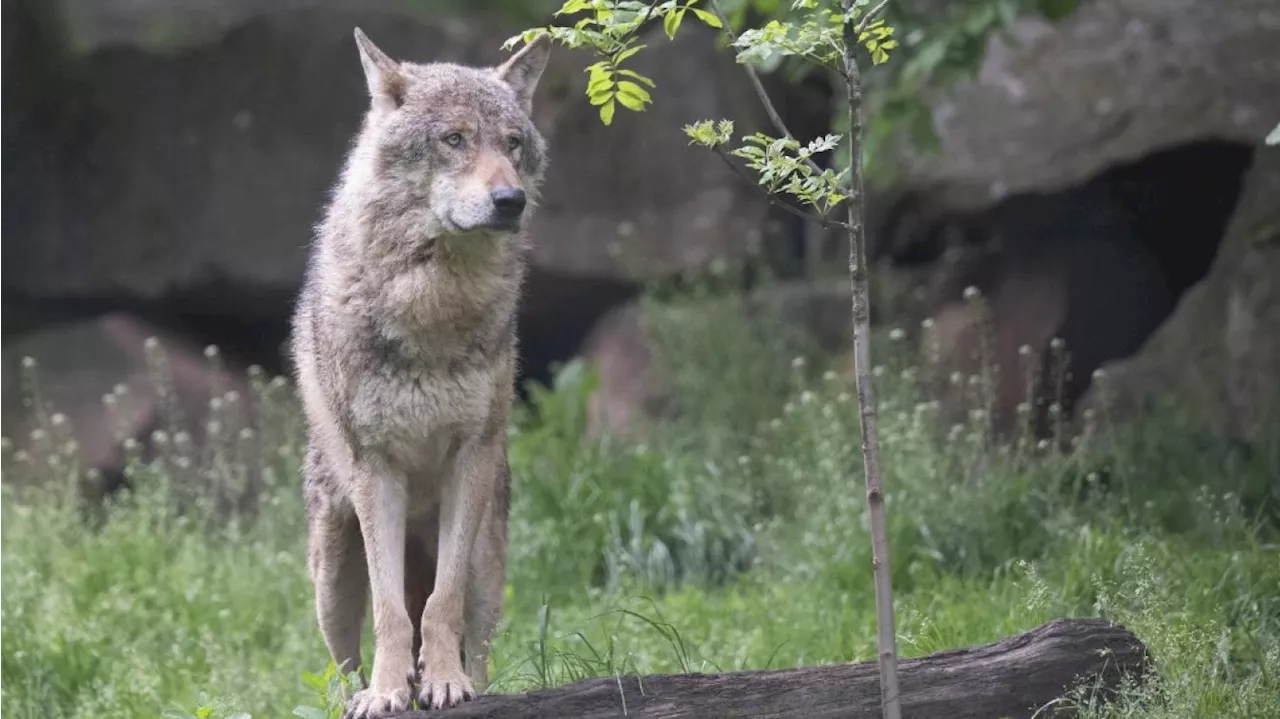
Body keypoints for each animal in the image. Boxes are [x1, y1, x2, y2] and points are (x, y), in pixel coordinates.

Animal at [290, 25, 550, 711]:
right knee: (341, 667)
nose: (510, 200)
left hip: (489, 561)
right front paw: (388, 693)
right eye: (454, 139)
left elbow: (439, 603)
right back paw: (361, 694)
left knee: (475, 637)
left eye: (511, 144)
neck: (433, 307)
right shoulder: (376, 468)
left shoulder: (470, 457)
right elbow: (392, 613)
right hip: (331, 578)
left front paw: (443, 683)